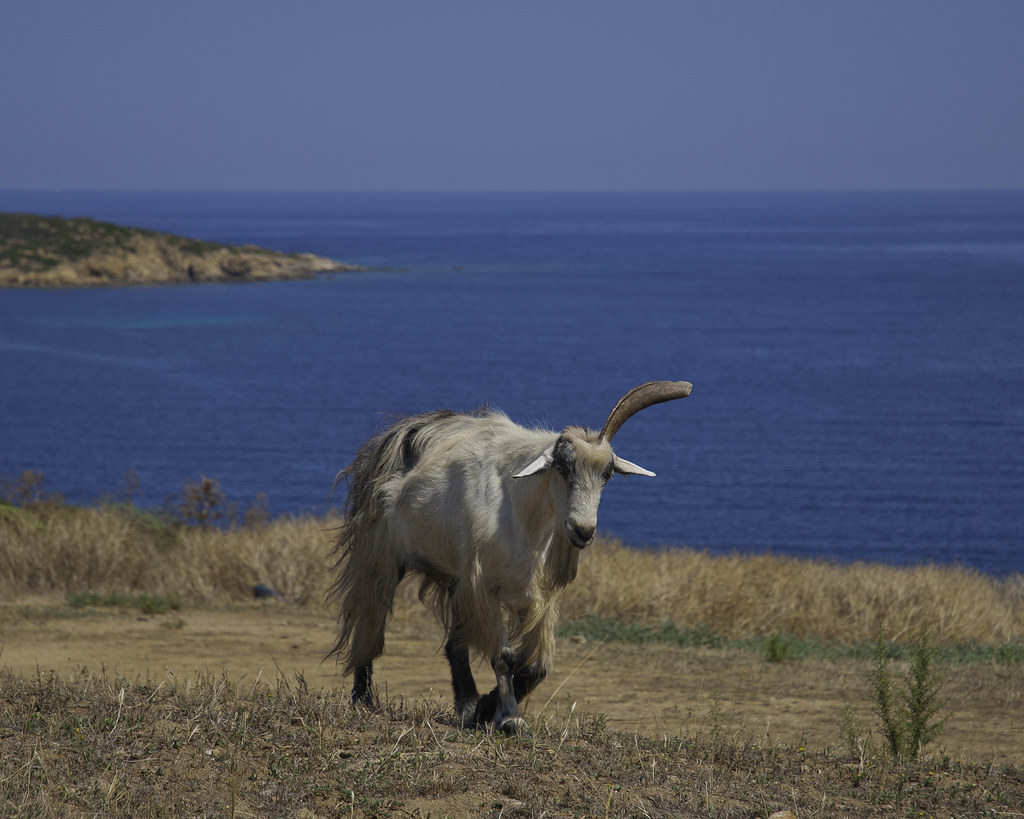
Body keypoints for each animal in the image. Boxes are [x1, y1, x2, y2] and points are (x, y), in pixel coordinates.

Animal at [327, 380, 692, 733]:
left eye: (608, 474)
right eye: (563, 468)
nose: (583, 530)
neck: (522, 514)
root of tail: (406, 431)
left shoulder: (537, 595)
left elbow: (538, 667)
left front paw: (485, 708)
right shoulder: (483, 588)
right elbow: (503, 657)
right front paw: (508, 717)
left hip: (455, 579)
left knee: (454, 645)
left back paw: (467, 706)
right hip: (380, 554)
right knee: (370, 619)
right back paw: (364, 698)